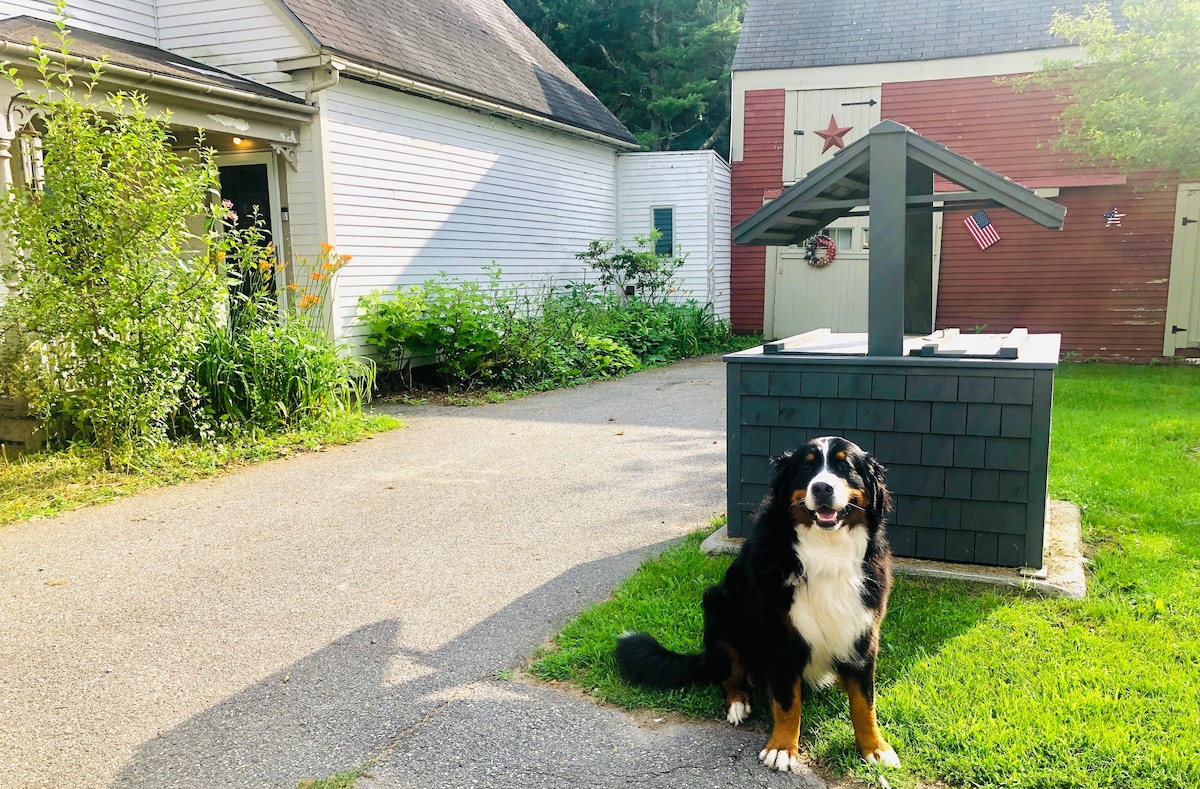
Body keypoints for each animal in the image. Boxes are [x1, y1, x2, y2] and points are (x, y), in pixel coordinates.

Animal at [614, 429, 897, 767]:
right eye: (806, 468)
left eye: (845, 467)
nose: (822, 487)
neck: (826, 552)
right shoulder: (779, 636)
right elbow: (788, 702)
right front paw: (782, 747)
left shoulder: (862, 634)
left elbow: (865, 702)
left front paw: (875, 748)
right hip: (719, 609)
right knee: (730, 676)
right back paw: (738, 702)